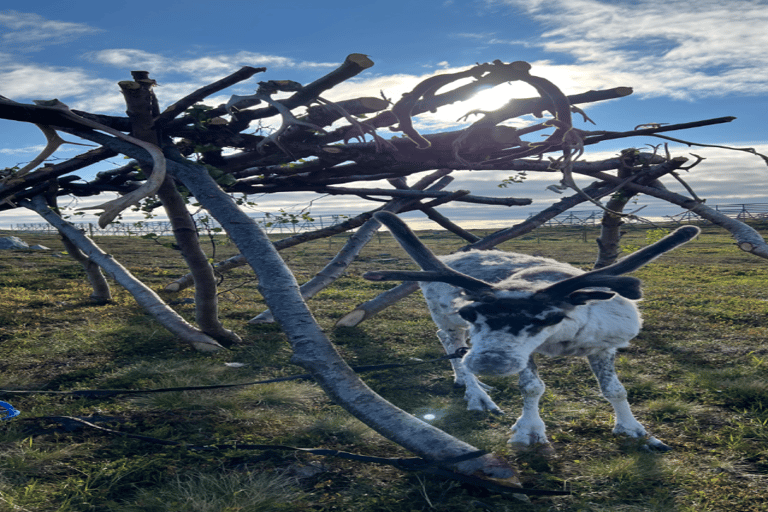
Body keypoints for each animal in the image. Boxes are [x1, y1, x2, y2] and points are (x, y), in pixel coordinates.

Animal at [364, 211, 699, 451]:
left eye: (549, 317)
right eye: (470, 311)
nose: (490, 363)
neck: (564, 342)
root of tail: (450, 257)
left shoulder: (603, 346)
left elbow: (615, 390)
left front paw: (634, 430)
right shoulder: (523, 352)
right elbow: (532, 388)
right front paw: (529, 432)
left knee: (452, 346)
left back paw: (468, 380)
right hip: (444, 316)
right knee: (452, 342)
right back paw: (477, 394)